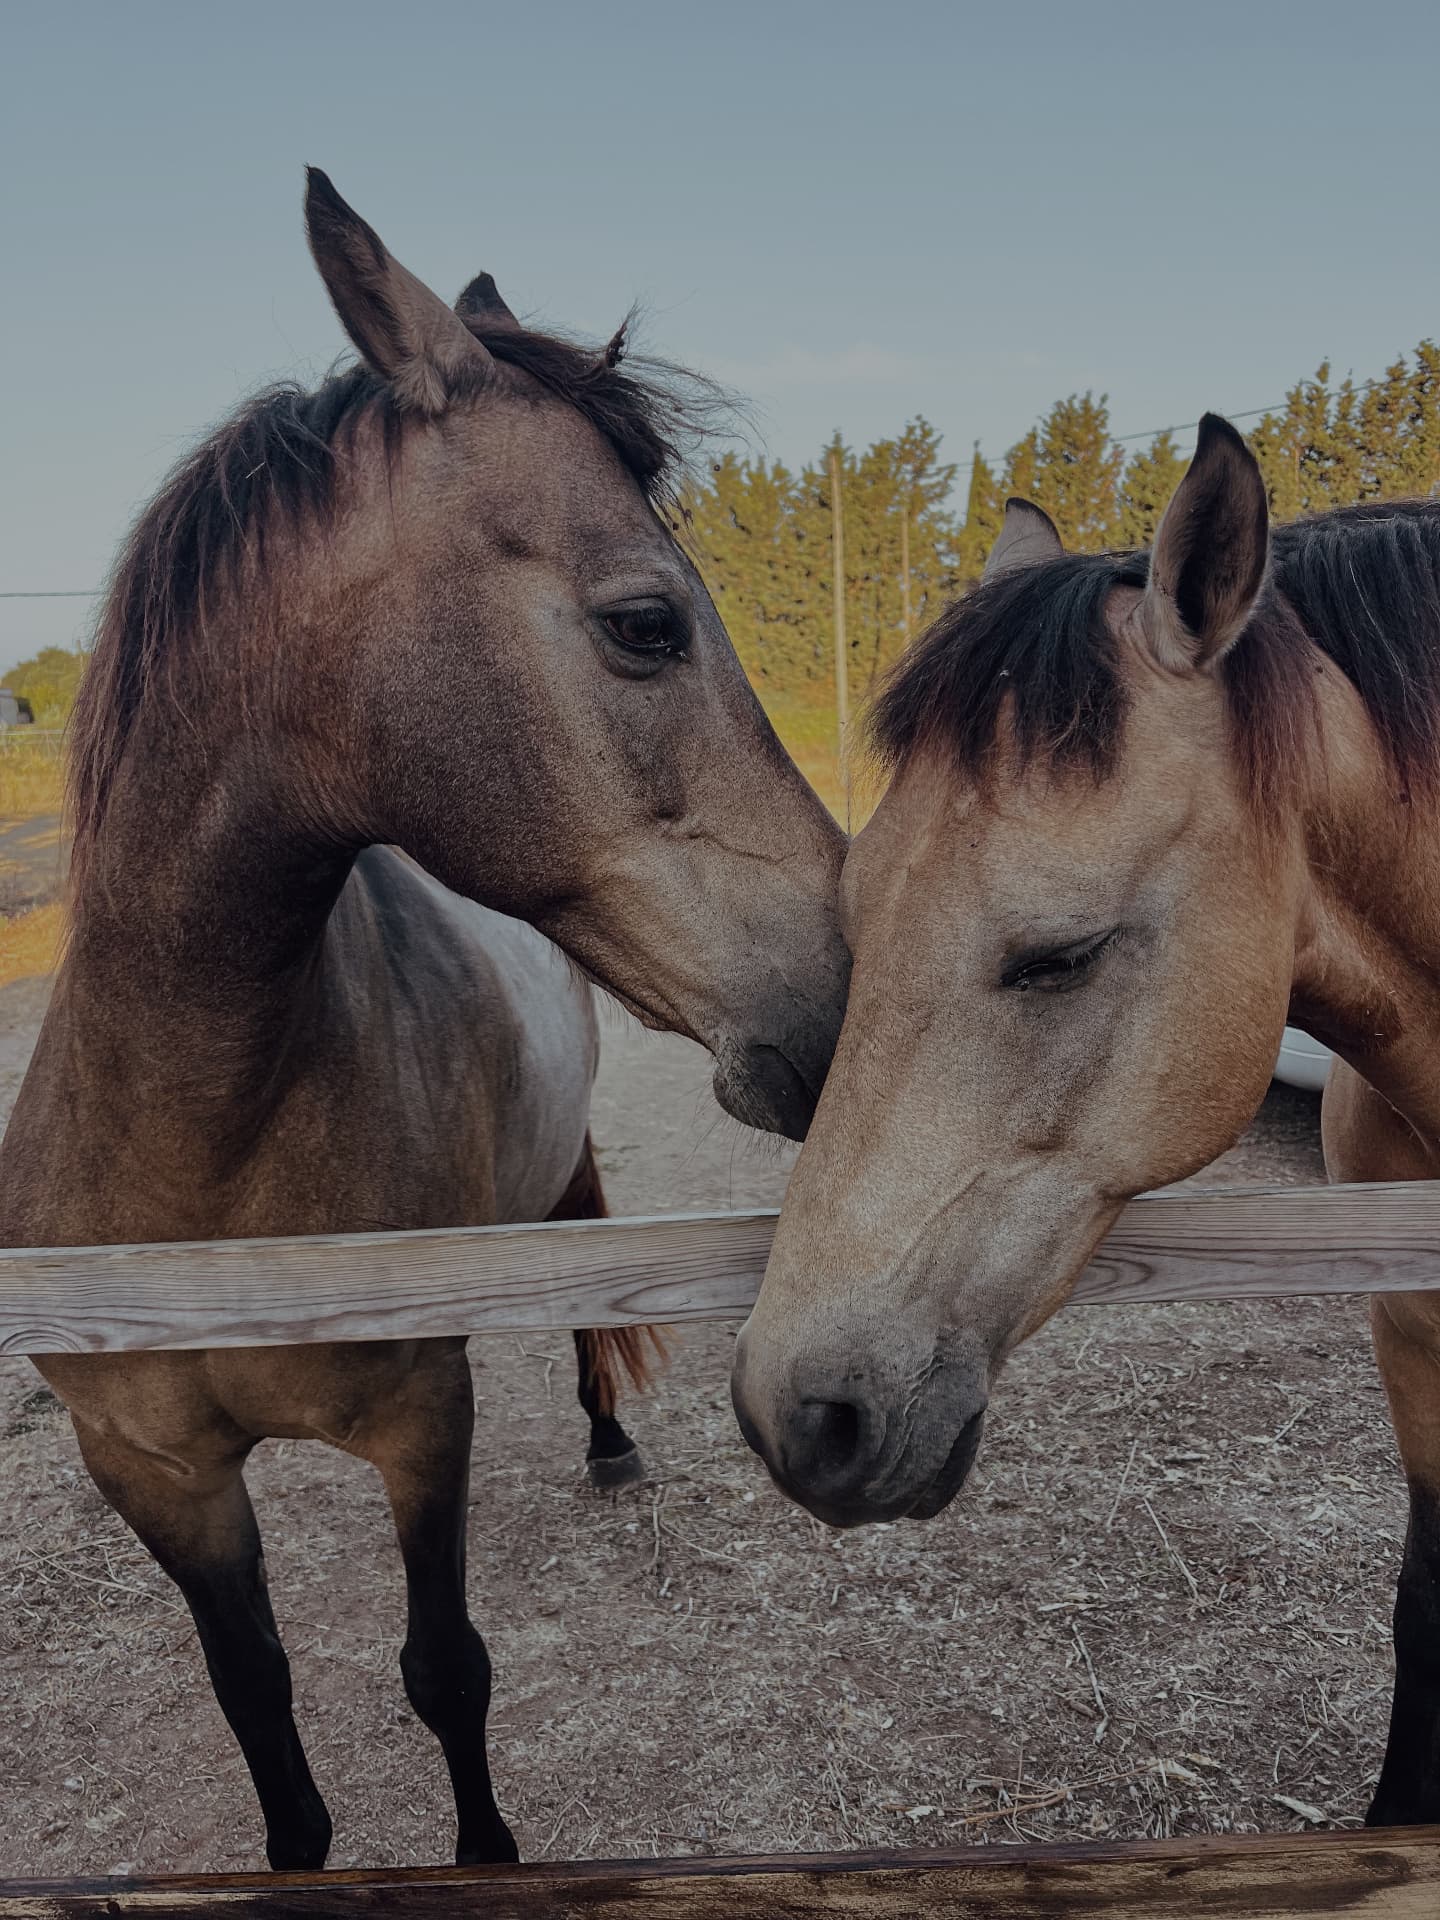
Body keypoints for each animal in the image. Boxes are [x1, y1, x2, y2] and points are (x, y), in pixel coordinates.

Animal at [0, 169, 850, 1872]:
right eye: (646, 623)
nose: (863, 982)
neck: (198, 1155)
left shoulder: (419, 1422)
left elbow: (445, 1669)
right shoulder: (156, 1474)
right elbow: (261, 1710)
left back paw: (605, 1439)